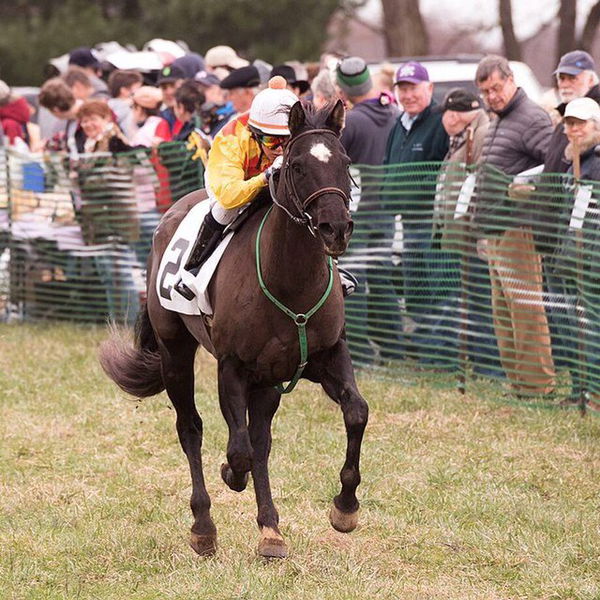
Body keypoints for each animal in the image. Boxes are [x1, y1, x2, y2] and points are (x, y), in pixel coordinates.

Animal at [98, 99, 368, 556]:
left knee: (260, 440)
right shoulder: (233, 367)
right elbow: (237, 450)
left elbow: (355, 414)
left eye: (345, 162)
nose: (336, 228)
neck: (290, 284)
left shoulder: (326, 356)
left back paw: (270, 528)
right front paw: (228, 474)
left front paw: (345, 507)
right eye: (296, 165)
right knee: (191, 428)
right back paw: (203, 525)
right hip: (175, 350)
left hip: (269, 378)